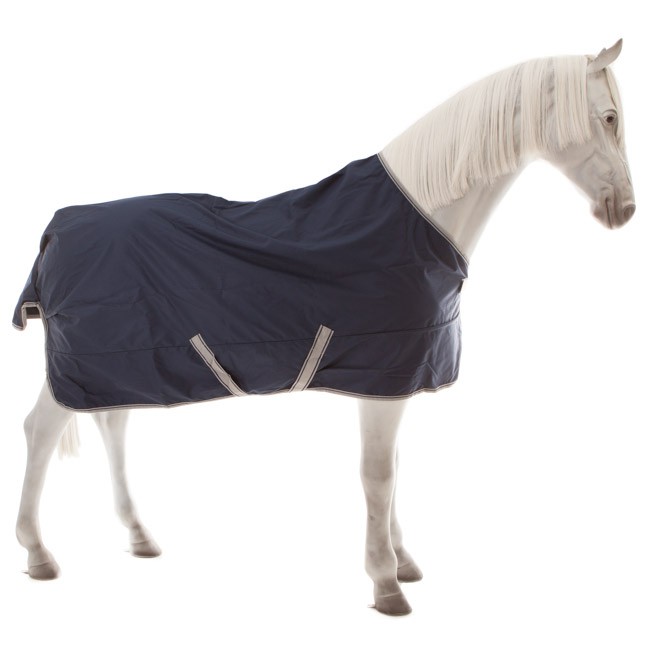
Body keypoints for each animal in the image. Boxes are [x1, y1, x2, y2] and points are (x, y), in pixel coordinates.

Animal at [14, 41, 635, 616]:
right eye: (609, 117)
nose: (624, 209)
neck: (416, 219)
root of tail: (56, 229)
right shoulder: (382, 380)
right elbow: (377, 476)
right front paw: (385, 583)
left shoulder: (392, 381)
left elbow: (394, 472)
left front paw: (402, 562)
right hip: (88, 363)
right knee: (41, 430)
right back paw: (38, 553)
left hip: (121, 362)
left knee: (112, 425)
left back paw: (139, 536)